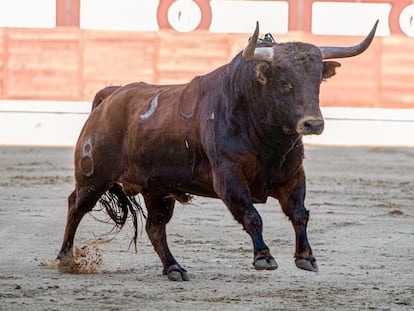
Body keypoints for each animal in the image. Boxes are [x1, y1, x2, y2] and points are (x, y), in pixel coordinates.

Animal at [57, 20, 378, 282]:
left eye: (317, 81)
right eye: (285, 82)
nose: (313, 123)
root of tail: (110, 96)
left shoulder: (293, 177)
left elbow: (299, 214)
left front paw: (307, 258)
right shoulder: (228, 177)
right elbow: (251, 215)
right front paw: (264, 257)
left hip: (157, 188)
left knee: (155, 227)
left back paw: (174, 268)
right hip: (94, 176)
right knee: (77, 206)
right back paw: (65, 259)